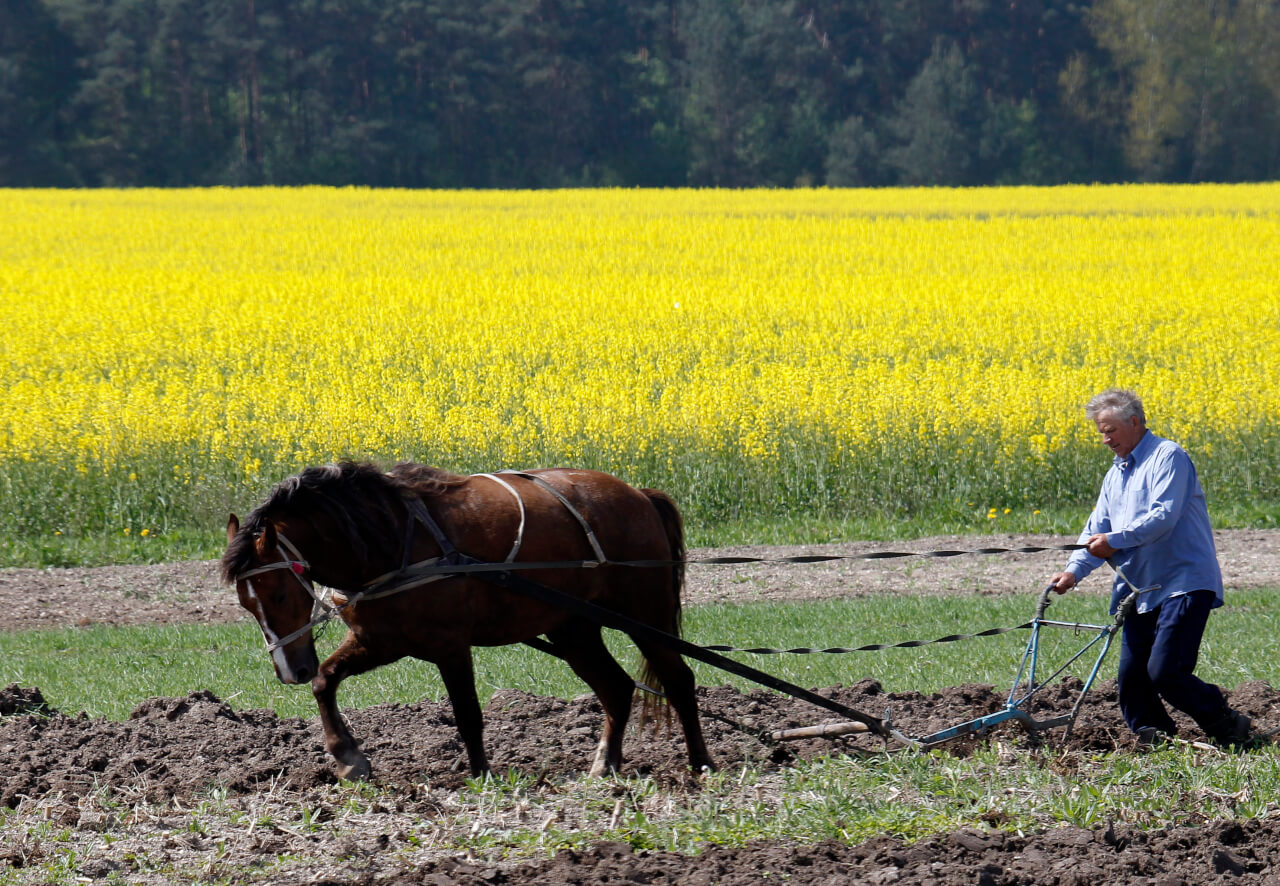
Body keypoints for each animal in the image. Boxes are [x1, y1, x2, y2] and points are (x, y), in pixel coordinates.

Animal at [224, 463, 716, 783]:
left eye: (278, 592)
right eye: (245, 604)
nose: (290, 670)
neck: (388, 540)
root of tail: (639, 494)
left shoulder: (450, 646)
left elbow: (467, 712)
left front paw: (480, 776)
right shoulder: (378, 640)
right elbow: (326, 681)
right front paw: (349, 759)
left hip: (645, 614)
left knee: (678, 680)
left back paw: (702, 764)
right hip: (573, 629)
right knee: (616, 687)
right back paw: (605, 765)